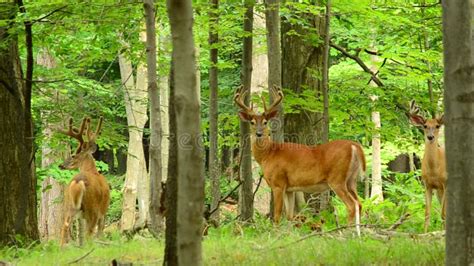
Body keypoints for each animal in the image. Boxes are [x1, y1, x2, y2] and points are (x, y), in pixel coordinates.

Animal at [58, 117, 109, 246]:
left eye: (73, 155)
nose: (61, 165)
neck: (92, 170)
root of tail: (78, 182)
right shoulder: (104, 210)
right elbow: (100, 233)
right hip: (93, 208)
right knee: (89, 234)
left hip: (69, 205)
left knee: (65, 226)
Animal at [235, 85, 364, 231]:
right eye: (252, 122)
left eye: (265, 122)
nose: (259, 134)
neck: (268, 155)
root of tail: (354, 146)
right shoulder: (289, 188)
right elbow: (290, 216)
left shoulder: (278, 183)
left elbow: (277, 215)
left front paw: (275, 233)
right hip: (351, 180)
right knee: (359, 204)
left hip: (337, 179)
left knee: (351, 205)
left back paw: (347, 232)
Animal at [410, 101, 446, 232]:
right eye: (425, 126)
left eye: (437, 126)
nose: (430, 137)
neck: (434, 170)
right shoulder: (427, 185)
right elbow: (427, 213)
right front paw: (424, 232)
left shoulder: (445, 183)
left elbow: (443, 213)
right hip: (439, 192)